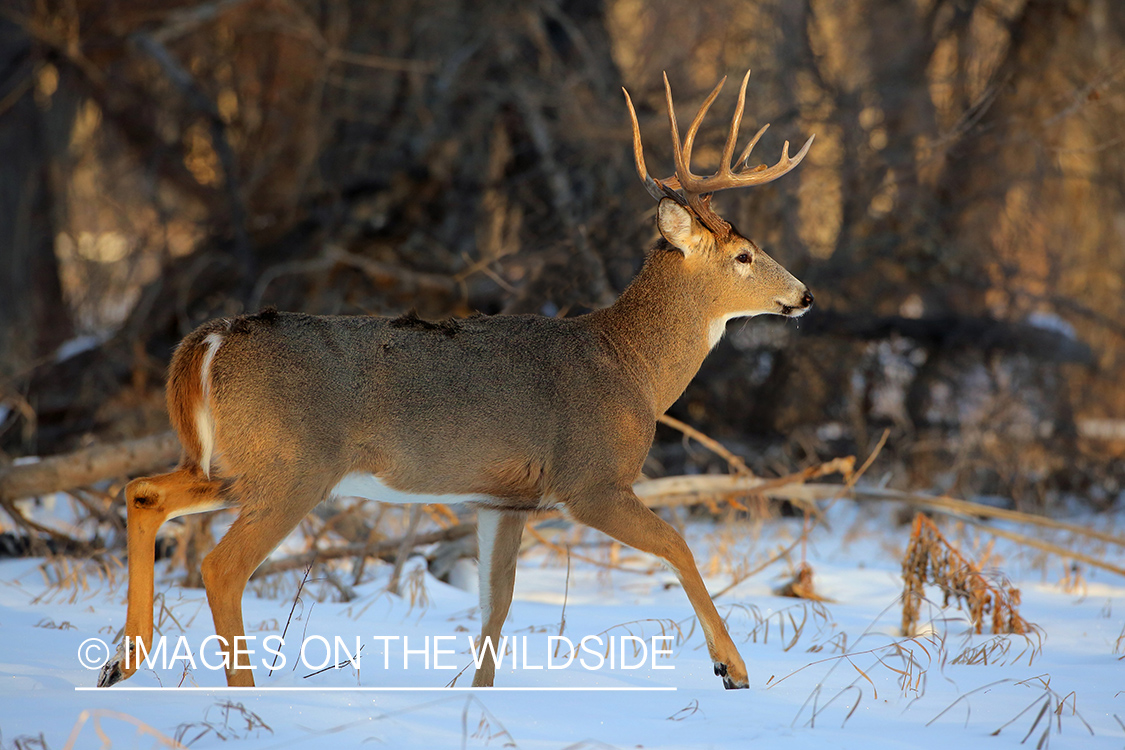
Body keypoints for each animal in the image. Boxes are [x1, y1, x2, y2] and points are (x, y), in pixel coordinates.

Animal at [96, 71, 814, 692]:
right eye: (743, 256)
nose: (804, 296)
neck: (629, 365)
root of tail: (209, 338)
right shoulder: (590, 480)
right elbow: (678, 544)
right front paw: (732, 669)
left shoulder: (501, 500)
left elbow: (496, 605)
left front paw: (476, 696)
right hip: (293, 466)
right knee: (221, 567)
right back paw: (237, 689)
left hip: (230, 463)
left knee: (143, 492)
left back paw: (122, 660)